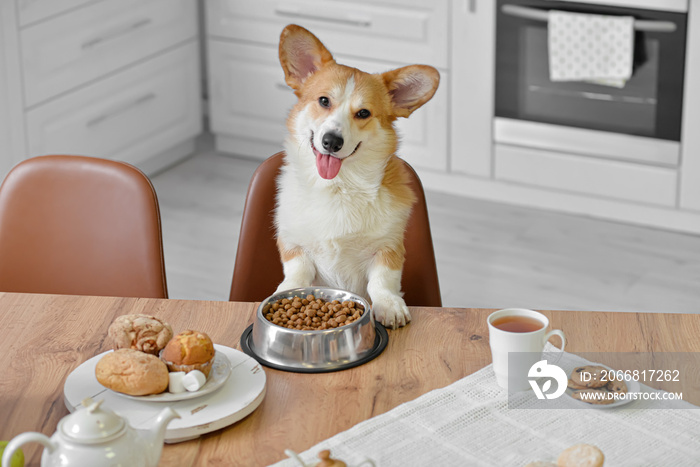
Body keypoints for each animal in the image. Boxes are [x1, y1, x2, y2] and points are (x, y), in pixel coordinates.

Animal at [274, 24, 438, 330]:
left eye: (363, 113)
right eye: (323, 101)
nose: (331, 141)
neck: (338, 187)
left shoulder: (388, 248)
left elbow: (382, 282)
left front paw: (389, 306)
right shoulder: (294, 245)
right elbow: (297, 273)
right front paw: (284, 291)